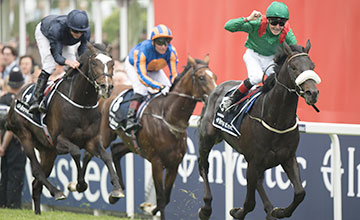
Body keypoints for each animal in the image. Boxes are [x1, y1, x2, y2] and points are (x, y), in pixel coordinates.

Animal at [3, 43, 124, 215]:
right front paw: (79, 185)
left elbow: (106, 156)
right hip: (25, 137)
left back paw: (38, 212)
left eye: (112, 63)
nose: (106, 87)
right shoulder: (59, 140)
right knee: (36, 171)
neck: (81, 103)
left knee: (36, 184)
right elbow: (75, 152)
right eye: (94, 63)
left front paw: (116, 189)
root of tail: (16, 97)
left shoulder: (92, 140)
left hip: (48, 152)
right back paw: (57, 192)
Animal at [76, 54, 217, 219]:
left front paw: (149, 208)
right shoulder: (156, 163)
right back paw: (78, 185)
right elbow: (161, 198)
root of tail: (104, 94)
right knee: (90, 153)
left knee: (115, 150)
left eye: (215, 76)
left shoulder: (174, 165)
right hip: (105, 135)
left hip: (132, 143)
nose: (215, 95)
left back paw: (117, 190)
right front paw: (152, 210)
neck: (168, 117)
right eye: (201, 77)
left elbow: (166, 198)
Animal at [197, 40, 320, 219]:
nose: (313, 93)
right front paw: (237, 212)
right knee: (203, 165)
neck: (276, 120)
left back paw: (270, 209)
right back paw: (206, 208)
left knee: (259, 181)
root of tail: (215, 89)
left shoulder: (287, 157)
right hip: (207, 138)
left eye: (312, 66)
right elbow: (249, 203)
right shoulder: (254, 161)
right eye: (294, 67)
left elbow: (300, 193)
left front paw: (280, 211)